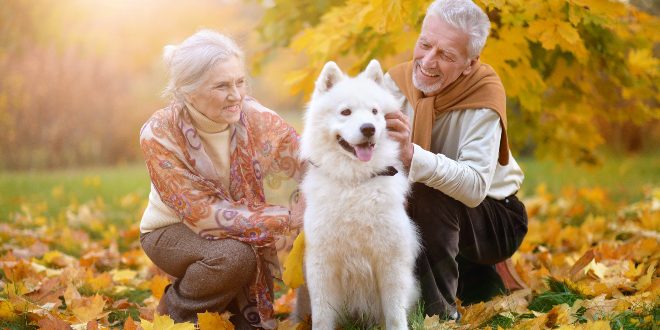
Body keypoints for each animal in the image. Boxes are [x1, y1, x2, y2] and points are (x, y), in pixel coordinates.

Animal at [300, 60, 420, 330]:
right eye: (345, 112)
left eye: (375, 111)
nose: (368, 128)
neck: (355, 183)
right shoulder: (322, 263)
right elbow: (322, 315)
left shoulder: (391, 259)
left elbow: (395, 313)